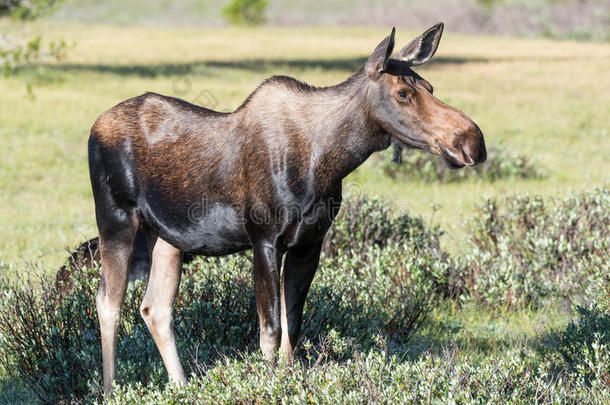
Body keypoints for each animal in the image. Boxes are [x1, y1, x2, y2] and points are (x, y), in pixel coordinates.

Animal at [89, 22, 484, 392]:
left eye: (429, 86)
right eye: (403, 92)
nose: (471, 141)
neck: (328, 160)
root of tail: (95, 127)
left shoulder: (309, 243)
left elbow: (292, 327)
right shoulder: (264, 239)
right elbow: (270, 331)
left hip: (168, 237)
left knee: (154, 307)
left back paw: (182, 386)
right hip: (116, 220)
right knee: (108, 302)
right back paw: (111, 390)